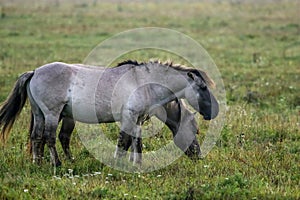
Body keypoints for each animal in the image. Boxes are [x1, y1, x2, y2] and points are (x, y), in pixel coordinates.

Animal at [0, 60, 218, 166]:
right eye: (202, 87)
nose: (214, 112)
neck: (144, 83)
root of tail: (35, 72)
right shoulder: (129, 117)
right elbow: (123, 141)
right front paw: (118, 163)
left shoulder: (137, 119)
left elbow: (136, 142)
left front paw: (136, 163)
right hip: (52, 114)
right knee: (49, 137)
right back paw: (58, 164)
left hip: (40, 114)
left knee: (37, 137)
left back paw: (37, 163)